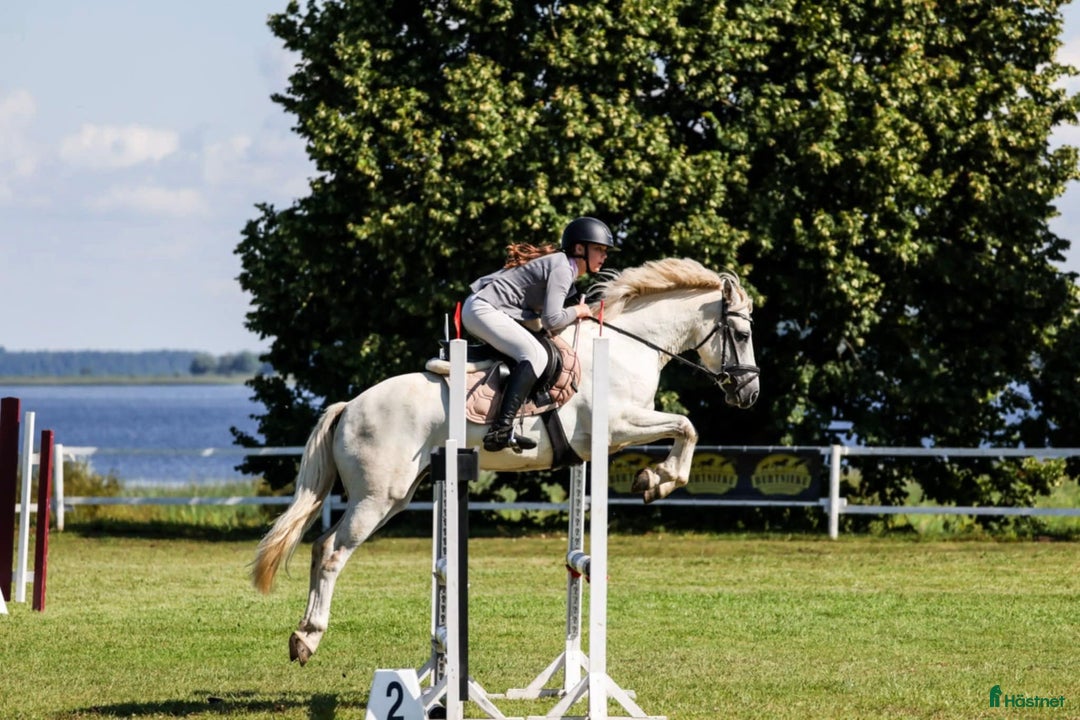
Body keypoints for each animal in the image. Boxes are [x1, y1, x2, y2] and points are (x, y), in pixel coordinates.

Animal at [252, 257, 760, 665]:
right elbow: (687, 425)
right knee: (331, 551)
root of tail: (349, 407)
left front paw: (655, 479)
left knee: (322, 546)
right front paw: (658, 479)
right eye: (742, 333)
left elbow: (685, 428)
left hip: (396, 495)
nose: (749, 393)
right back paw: (306, 638)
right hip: (377, 497)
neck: (627, 349)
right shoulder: (617, 425)